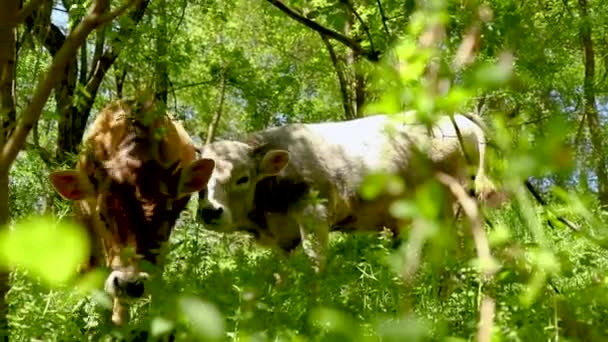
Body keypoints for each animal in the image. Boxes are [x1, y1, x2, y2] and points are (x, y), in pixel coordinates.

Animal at [197, 112, 502, 272]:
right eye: (200, 182)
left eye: (243, 178)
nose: (210, 212)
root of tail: (460, 115)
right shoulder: (282, 237)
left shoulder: (315, 213)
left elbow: (315, 261)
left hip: (456, 202)